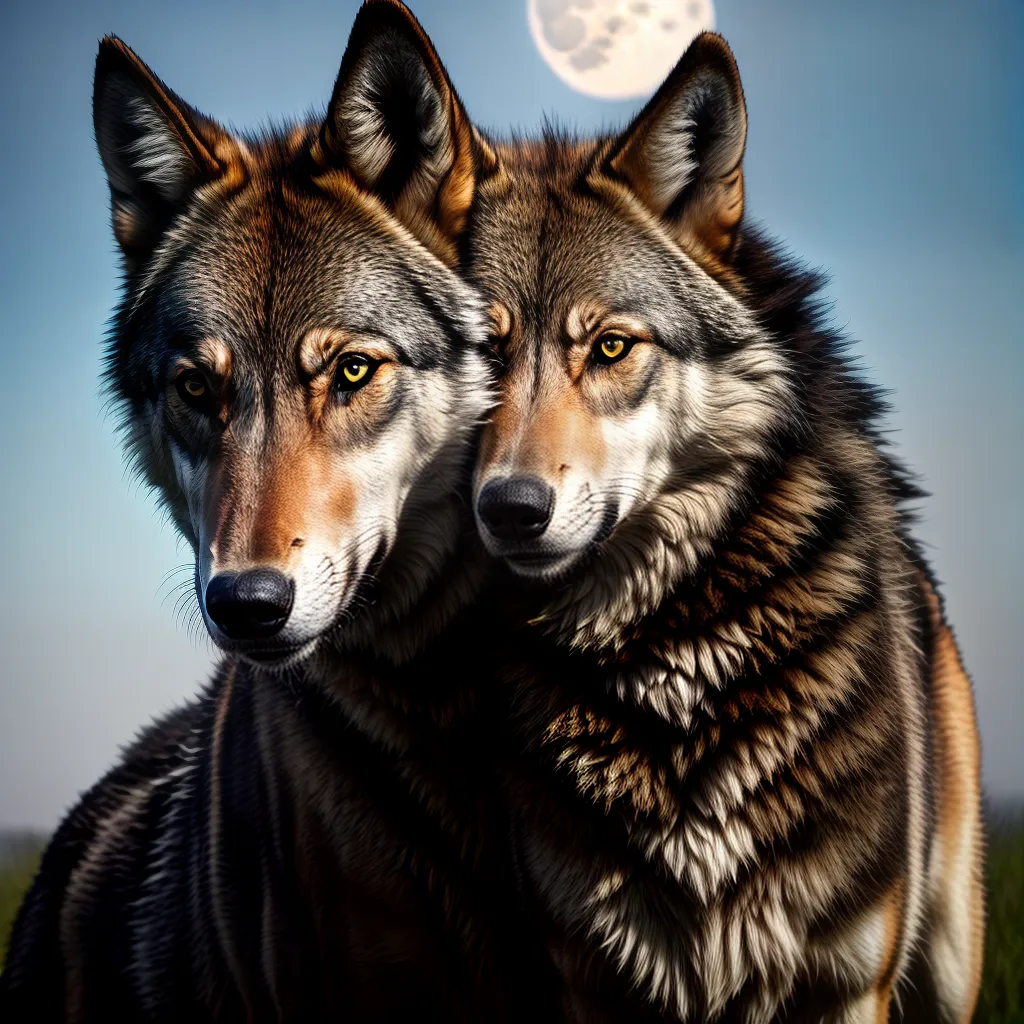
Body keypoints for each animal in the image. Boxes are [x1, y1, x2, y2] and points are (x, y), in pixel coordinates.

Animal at [461, 30, 985, 1024]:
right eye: (482, 354)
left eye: (612, 347)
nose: (509, 509)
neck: (677, 670)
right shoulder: (593, 978)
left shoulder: (846, 982)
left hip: (944, 958)